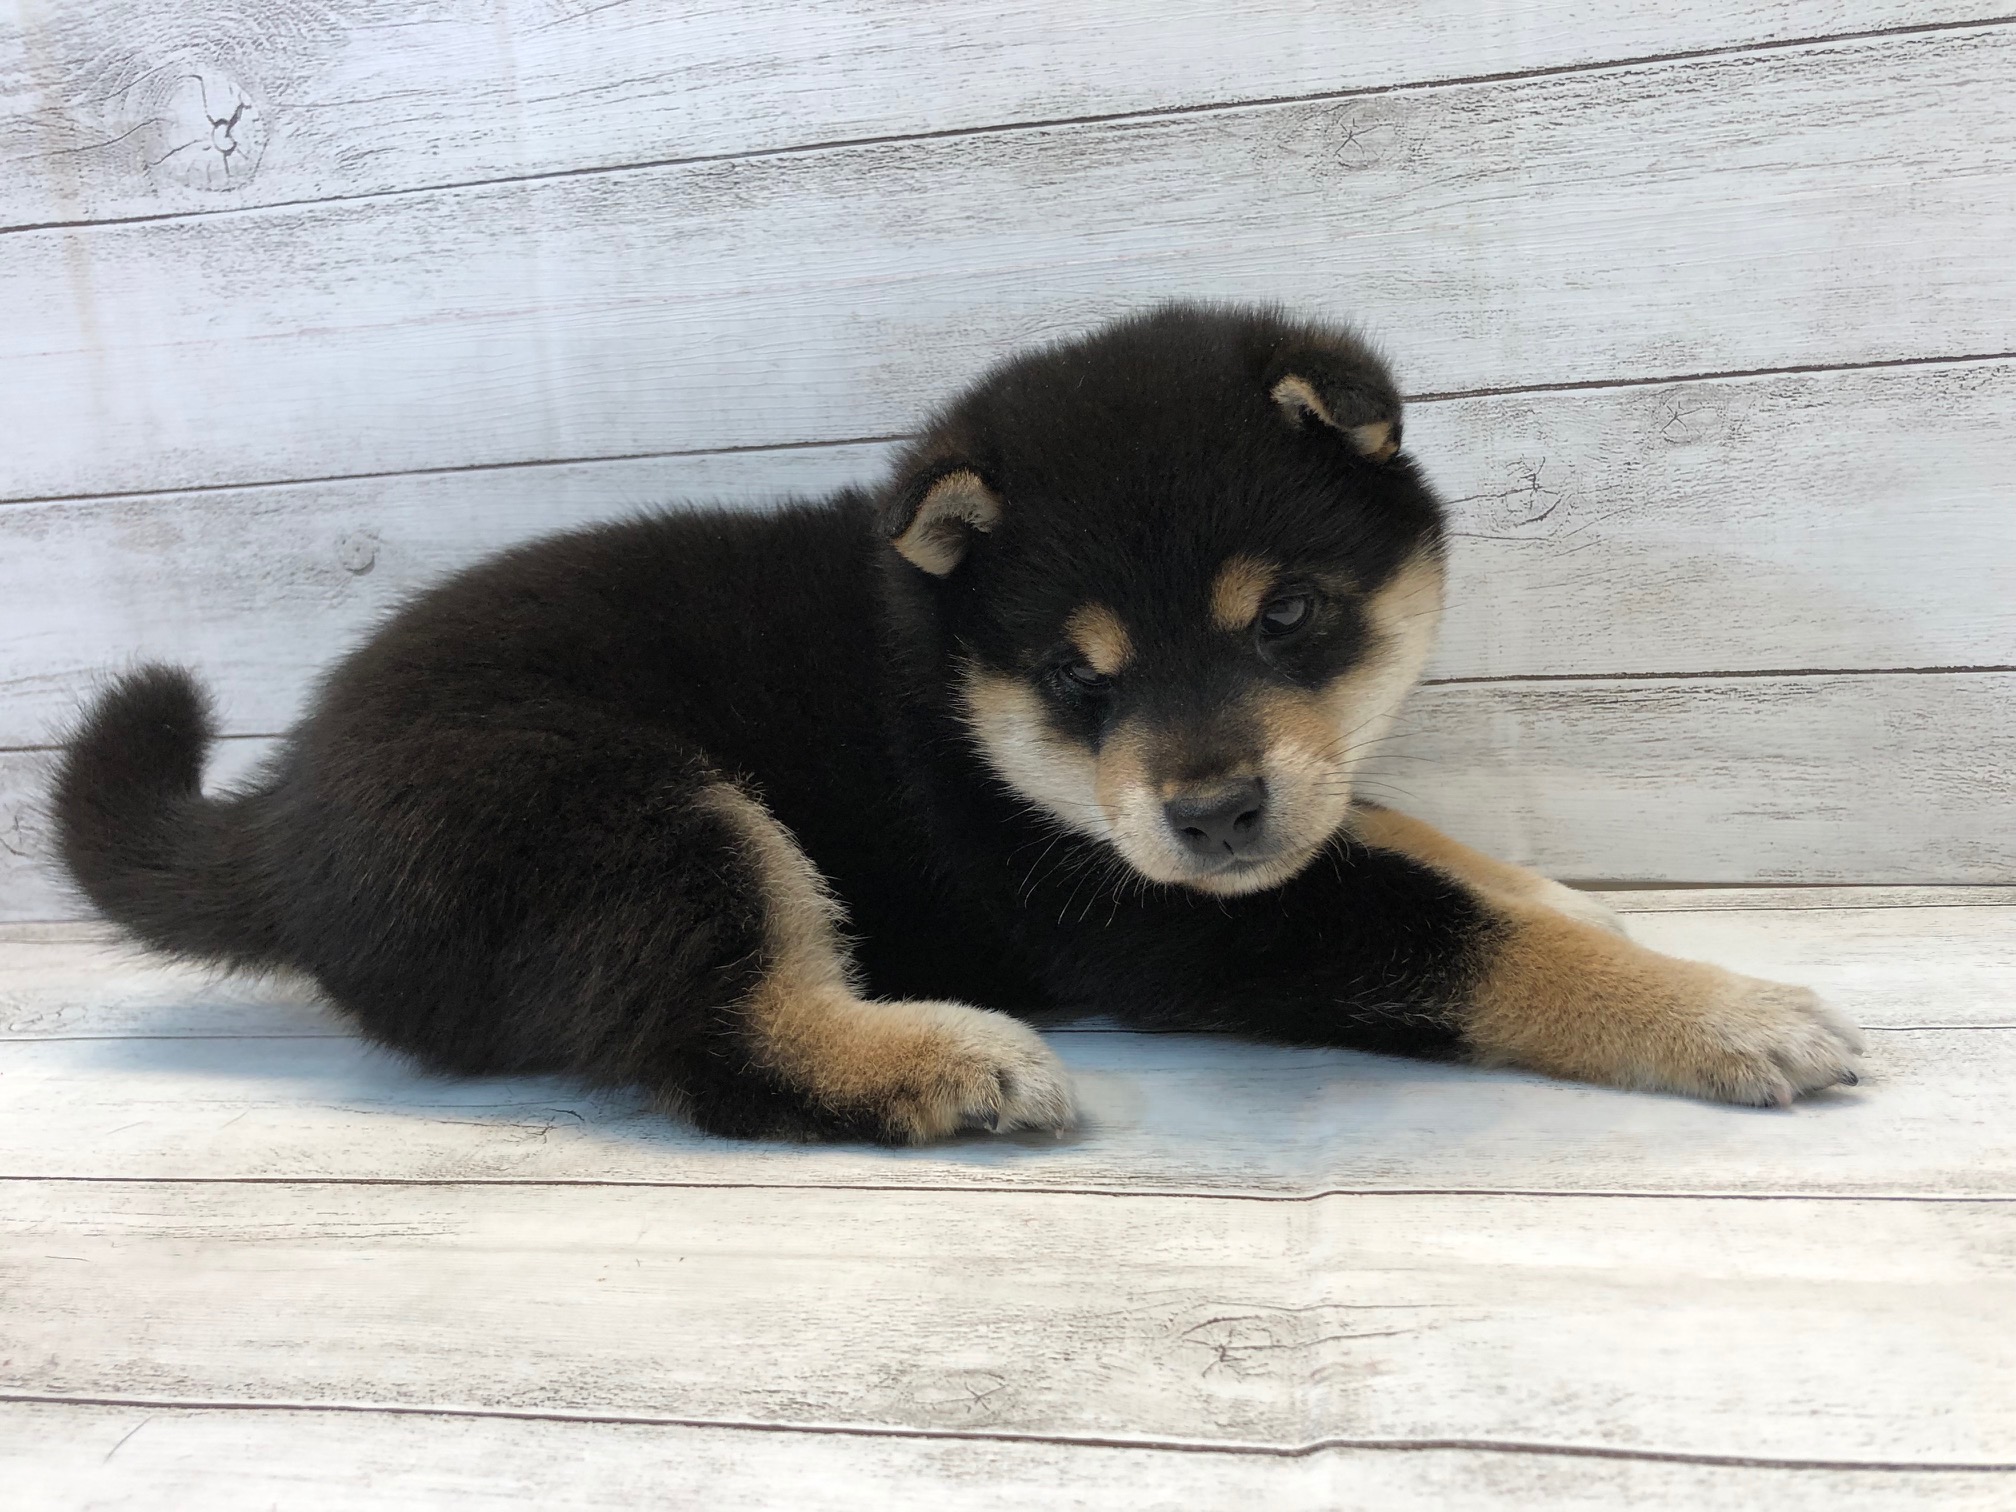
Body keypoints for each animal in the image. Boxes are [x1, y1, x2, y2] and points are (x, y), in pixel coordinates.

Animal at [51, 304, 1854, 1137]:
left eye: (1285, 616)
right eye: (1077, 674)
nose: (1208, 811)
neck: (969, 711)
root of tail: (277, 823)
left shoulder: (1271, 835)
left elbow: (1416, 846)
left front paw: (1565, 892)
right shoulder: (1166, 919)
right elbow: (1468, 945)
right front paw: (1725, 1012)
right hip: (627, 811)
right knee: (726, 1042)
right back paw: (941, 1060)